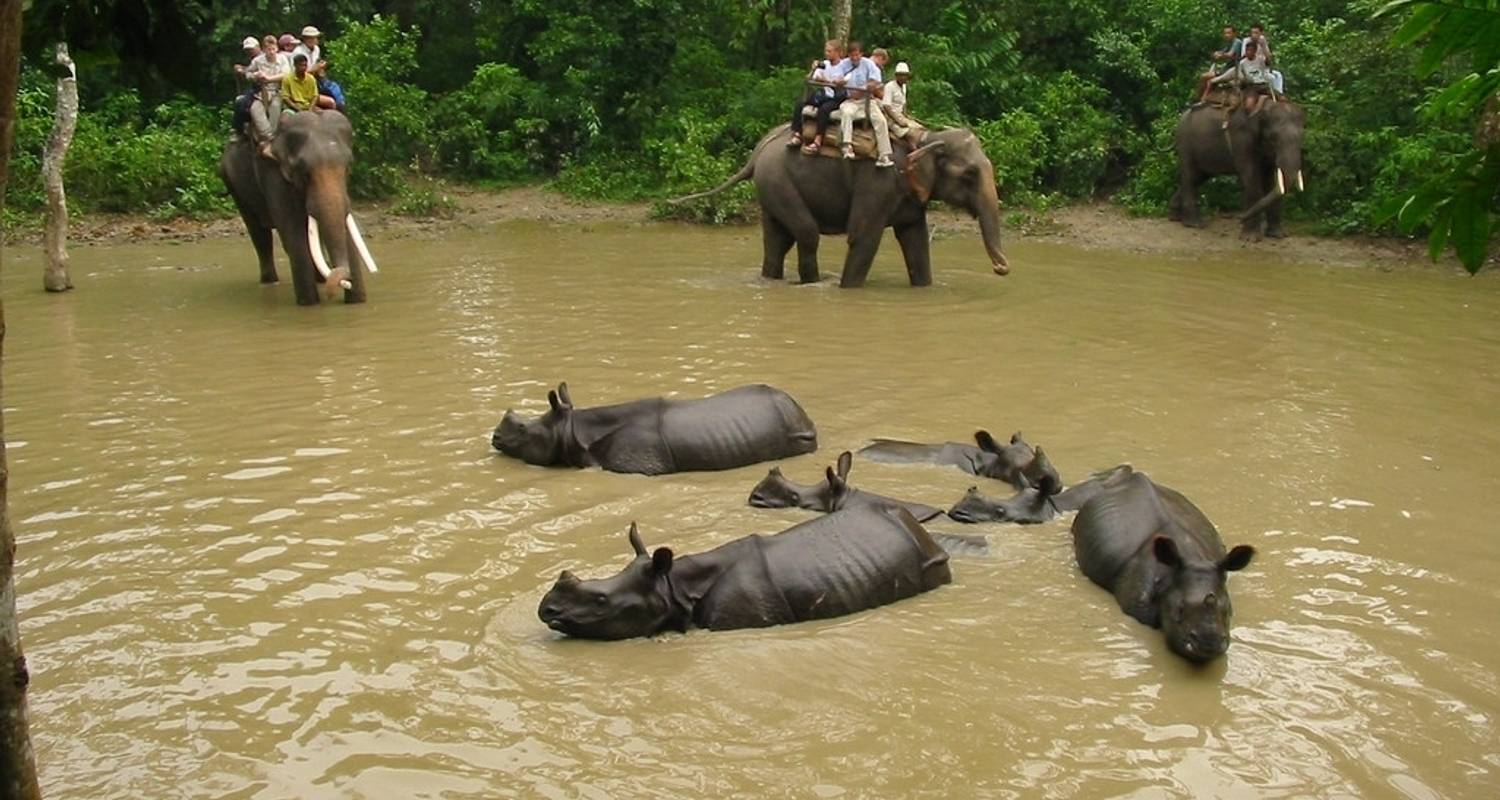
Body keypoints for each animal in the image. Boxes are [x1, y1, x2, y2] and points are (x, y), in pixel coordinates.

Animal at [219, 108, 378, 303]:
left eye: (348, 167)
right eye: (304, 173)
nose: (343, 284)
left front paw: (356, 302)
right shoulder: (272, 172)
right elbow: (294, 234)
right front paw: (309, 303)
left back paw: (319, 279)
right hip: (233, 184)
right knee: (260, 235)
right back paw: (271, 282)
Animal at [669, 124, 1008, 286]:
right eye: (969, 174)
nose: (1001, 268)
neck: (924, 137)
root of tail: (757, 153)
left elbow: (915, 242)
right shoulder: (878, 182)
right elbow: (863, 237)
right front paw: (848, 290)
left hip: (770, 188)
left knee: (777, 242)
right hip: (778, 182)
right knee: (806, 235)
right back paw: (811, 284)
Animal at [1164, 99, 1308, 237]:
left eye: (1302, 136)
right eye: (1273, 139)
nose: (1239, 218)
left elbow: (1272, 181)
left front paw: (1277, 235)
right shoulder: (1241, 139)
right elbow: (1251, 178)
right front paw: (1250, 238)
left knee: (1197, 178)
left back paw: (1175, 217)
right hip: (1185, 144)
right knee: (1189, 177)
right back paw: (1194, 224)